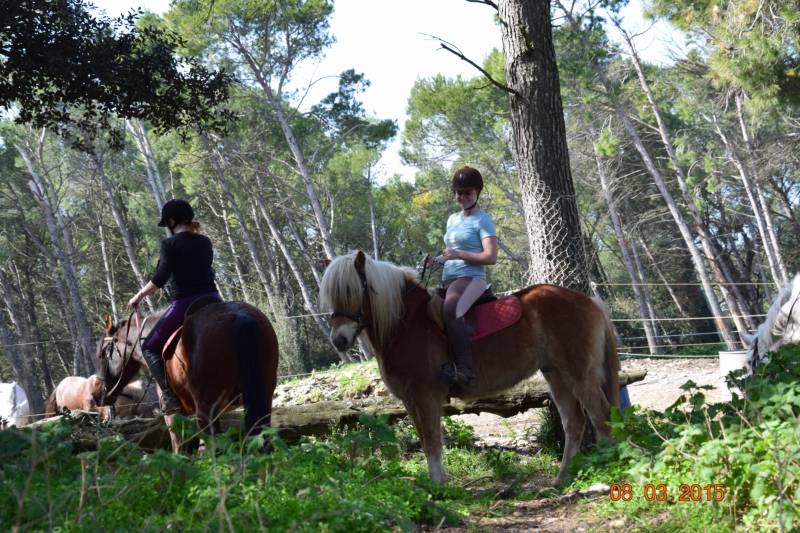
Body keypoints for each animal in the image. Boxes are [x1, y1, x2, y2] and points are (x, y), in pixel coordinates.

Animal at [96, 299, 279, 451]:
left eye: (103, 353)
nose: (101, 394)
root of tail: (239, 316)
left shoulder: (174, 415)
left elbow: (179, 446)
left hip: (206, 408)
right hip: (262, 396)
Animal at [319, 251, 620, 486]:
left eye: (353, 290)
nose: (339, 340)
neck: (405, 323)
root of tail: (588, 301)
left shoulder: (425, 396)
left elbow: (432, 440)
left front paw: (440, 488)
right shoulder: (409, 400)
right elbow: (425, 440)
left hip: (579, 374)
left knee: (600, 415)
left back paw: (608, 471)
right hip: (557, 375)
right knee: (575, 422)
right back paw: (562, 479)